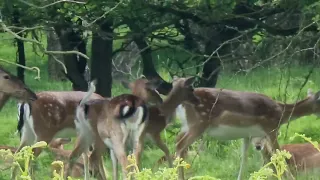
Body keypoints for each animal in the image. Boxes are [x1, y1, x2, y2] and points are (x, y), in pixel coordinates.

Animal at [175, 78, 320, 180]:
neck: (282, 113)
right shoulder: (271, 128)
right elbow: (279, 155)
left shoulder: (247, 135)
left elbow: (243, 159)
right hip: (199, 123)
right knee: (180, 145)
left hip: (187, 125)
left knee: (178, 141)